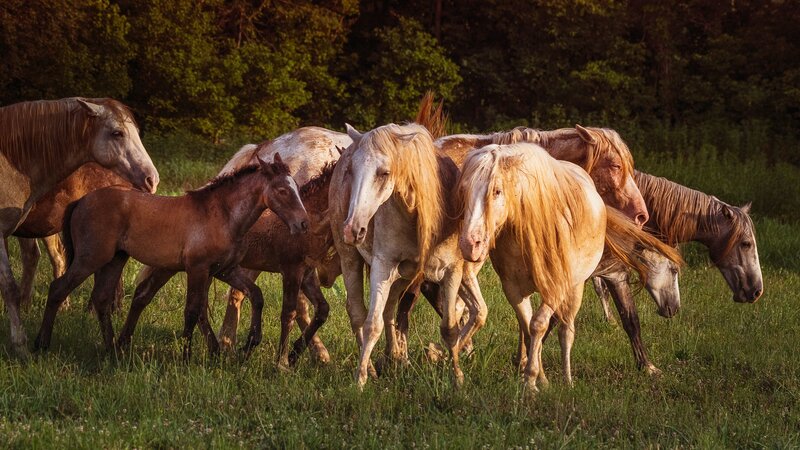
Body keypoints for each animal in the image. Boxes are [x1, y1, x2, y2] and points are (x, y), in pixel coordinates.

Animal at [33, 154, 308, 360]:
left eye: (295, 187)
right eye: (282, 190)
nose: (303, 224)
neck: (224, 216)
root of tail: (81, 201)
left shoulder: (224, 270)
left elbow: (256, 295)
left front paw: (249, 342)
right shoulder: (197, 268)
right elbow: (193, 311)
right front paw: (187, 356)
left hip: (115, 259)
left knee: (101, 299)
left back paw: (112, 349)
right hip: (90, 258)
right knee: (58, 289)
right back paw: (42, 343)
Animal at [331, 122, 487, 388]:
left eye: (384, 173)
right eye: (351, 170)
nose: (352, 228)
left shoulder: (451, 272)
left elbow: (450, 327)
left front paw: (456, 376)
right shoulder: (382, 265)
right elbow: (372, 324)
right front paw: (360, 379)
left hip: (404, 276)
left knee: (390, 310)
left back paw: (394, 358)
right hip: (351, 258)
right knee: (358, 313)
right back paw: (373, 367)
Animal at [457, 142, 682, 391]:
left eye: (497, 191)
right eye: (464, 190)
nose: (469, 244)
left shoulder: (563, 286)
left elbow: (541, 325)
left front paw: (532, 379)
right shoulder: (513, 289)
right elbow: (529, 328)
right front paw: (532, 375)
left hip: (574, 289)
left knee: (567, 331)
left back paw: (567, 379)